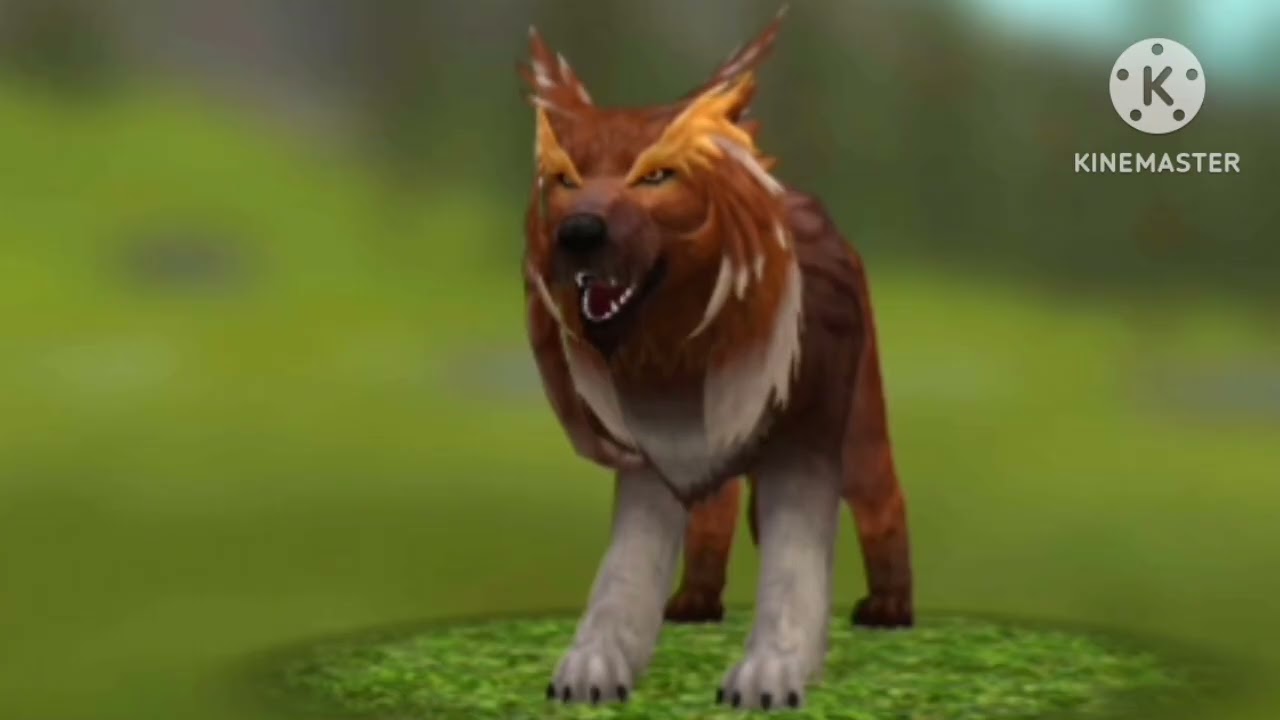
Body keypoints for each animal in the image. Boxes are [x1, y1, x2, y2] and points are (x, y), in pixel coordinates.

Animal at [521, 8, 913, 711]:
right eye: (565, 180)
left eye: (655, 176)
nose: (578, 233)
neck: (677, 349)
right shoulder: (650, 457)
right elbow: (624, 574)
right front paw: (594, 661)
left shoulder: (804, 446)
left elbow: (792, 569)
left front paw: (772, 670)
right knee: (716, 512)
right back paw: (695, 602)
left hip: (861, 429)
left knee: (883, 502)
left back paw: (892, 608)